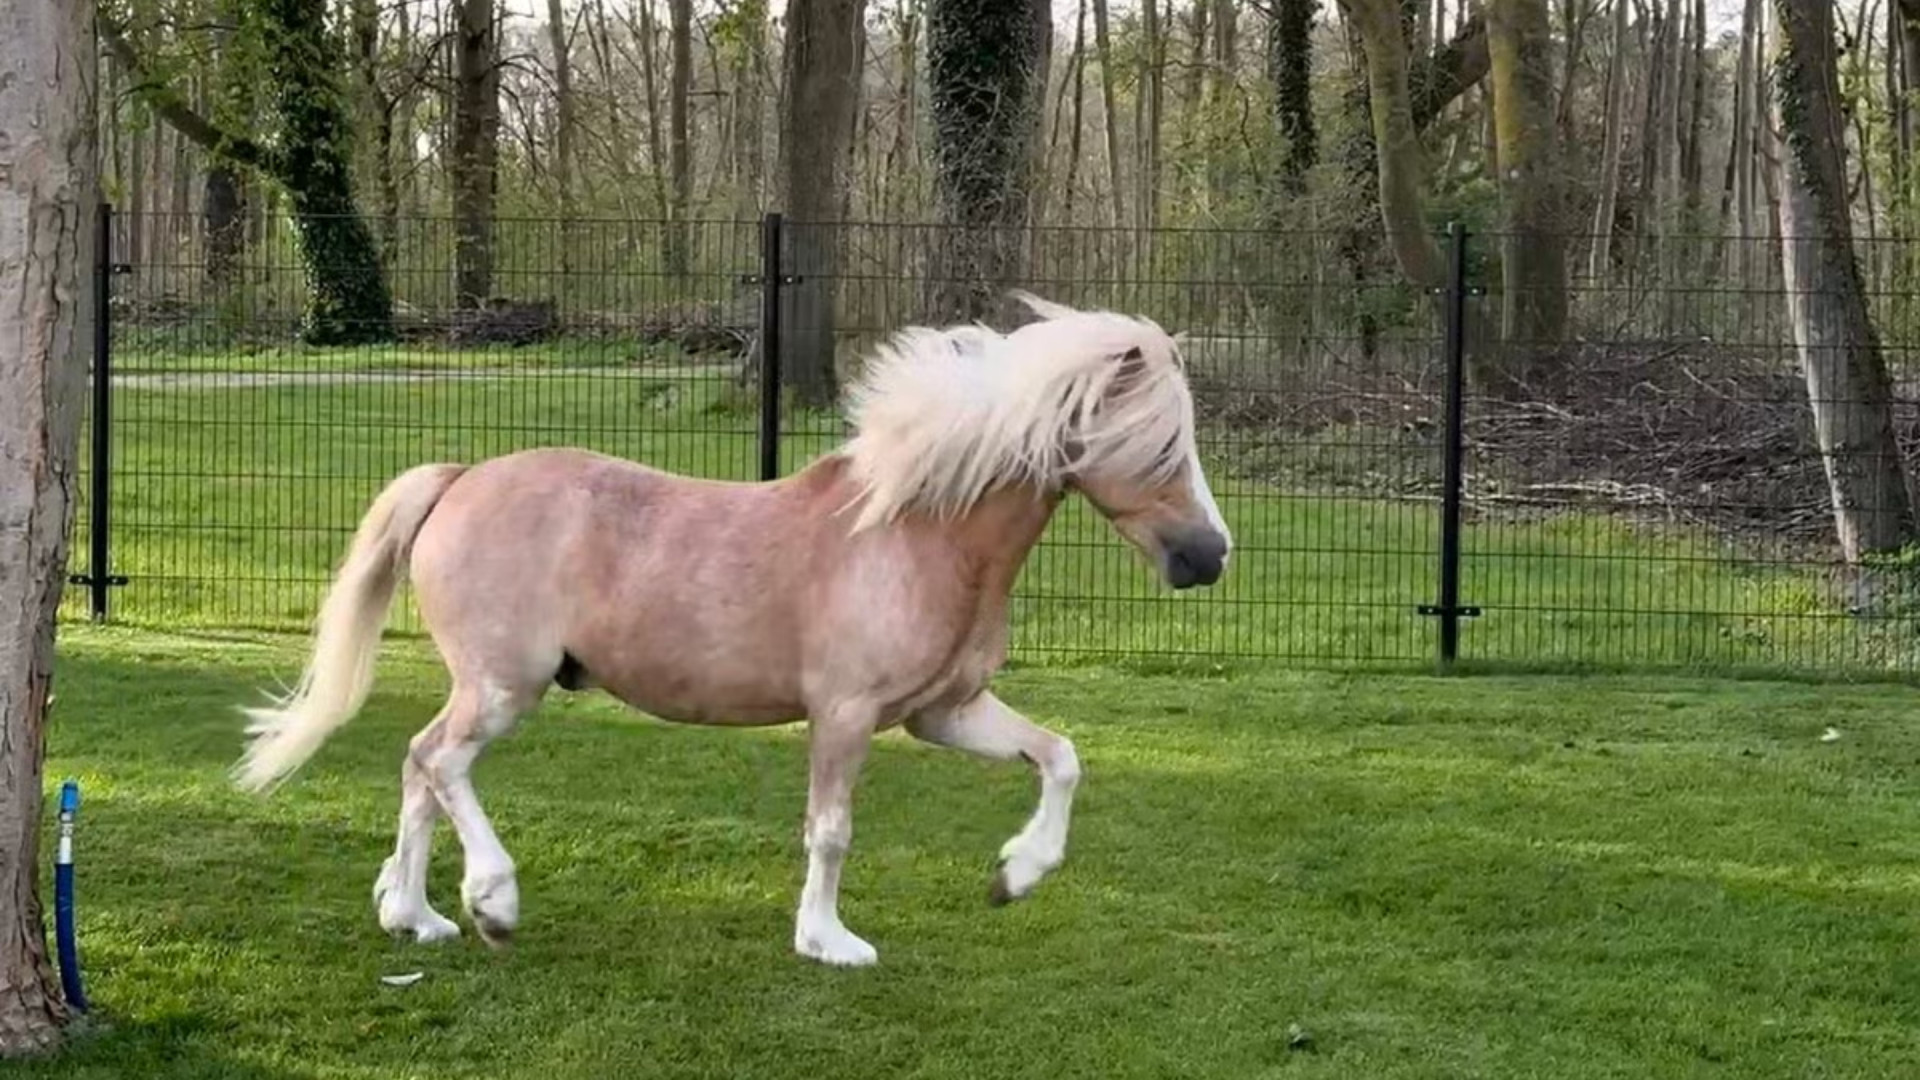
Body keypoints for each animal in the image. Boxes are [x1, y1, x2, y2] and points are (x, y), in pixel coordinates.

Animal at [231, 292, 1232, 967]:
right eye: (1160, 446)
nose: (1211, 558)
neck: (917, 533)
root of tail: (460, 477)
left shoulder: (943, 712)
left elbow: (1060, 757)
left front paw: (1015, 875)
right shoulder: (845, 715)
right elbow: (831, 830)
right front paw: (829, 940)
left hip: (484, 689)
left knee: (416, 768)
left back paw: (415, 917)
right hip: (503, 686)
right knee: (438, 763)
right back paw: (491, 903)